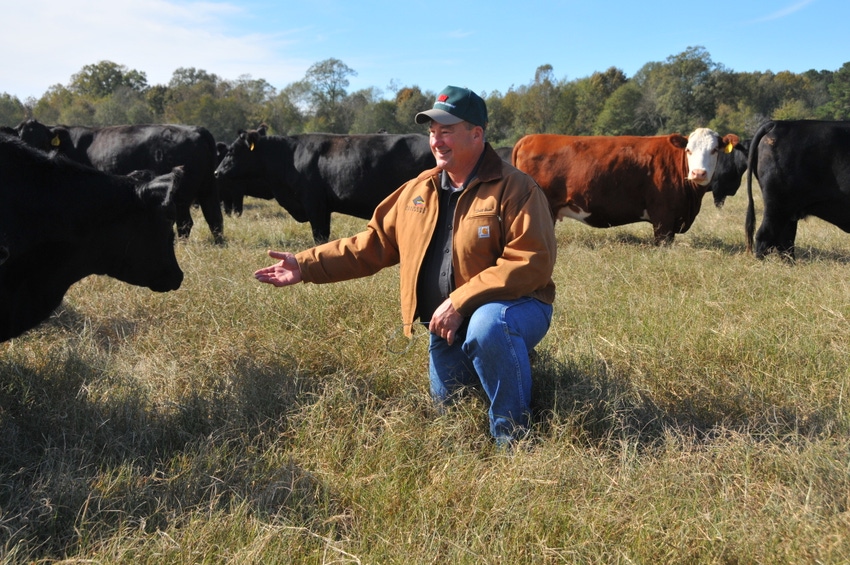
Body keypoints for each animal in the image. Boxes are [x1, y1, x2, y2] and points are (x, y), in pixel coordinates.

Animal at [17, 118, 222, 243]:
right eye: (20, 139)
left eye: (42, 141)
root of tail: (197, 129)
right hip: (208, 189)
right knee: (215, 219)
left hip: (182, 196)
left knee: (185, 223)